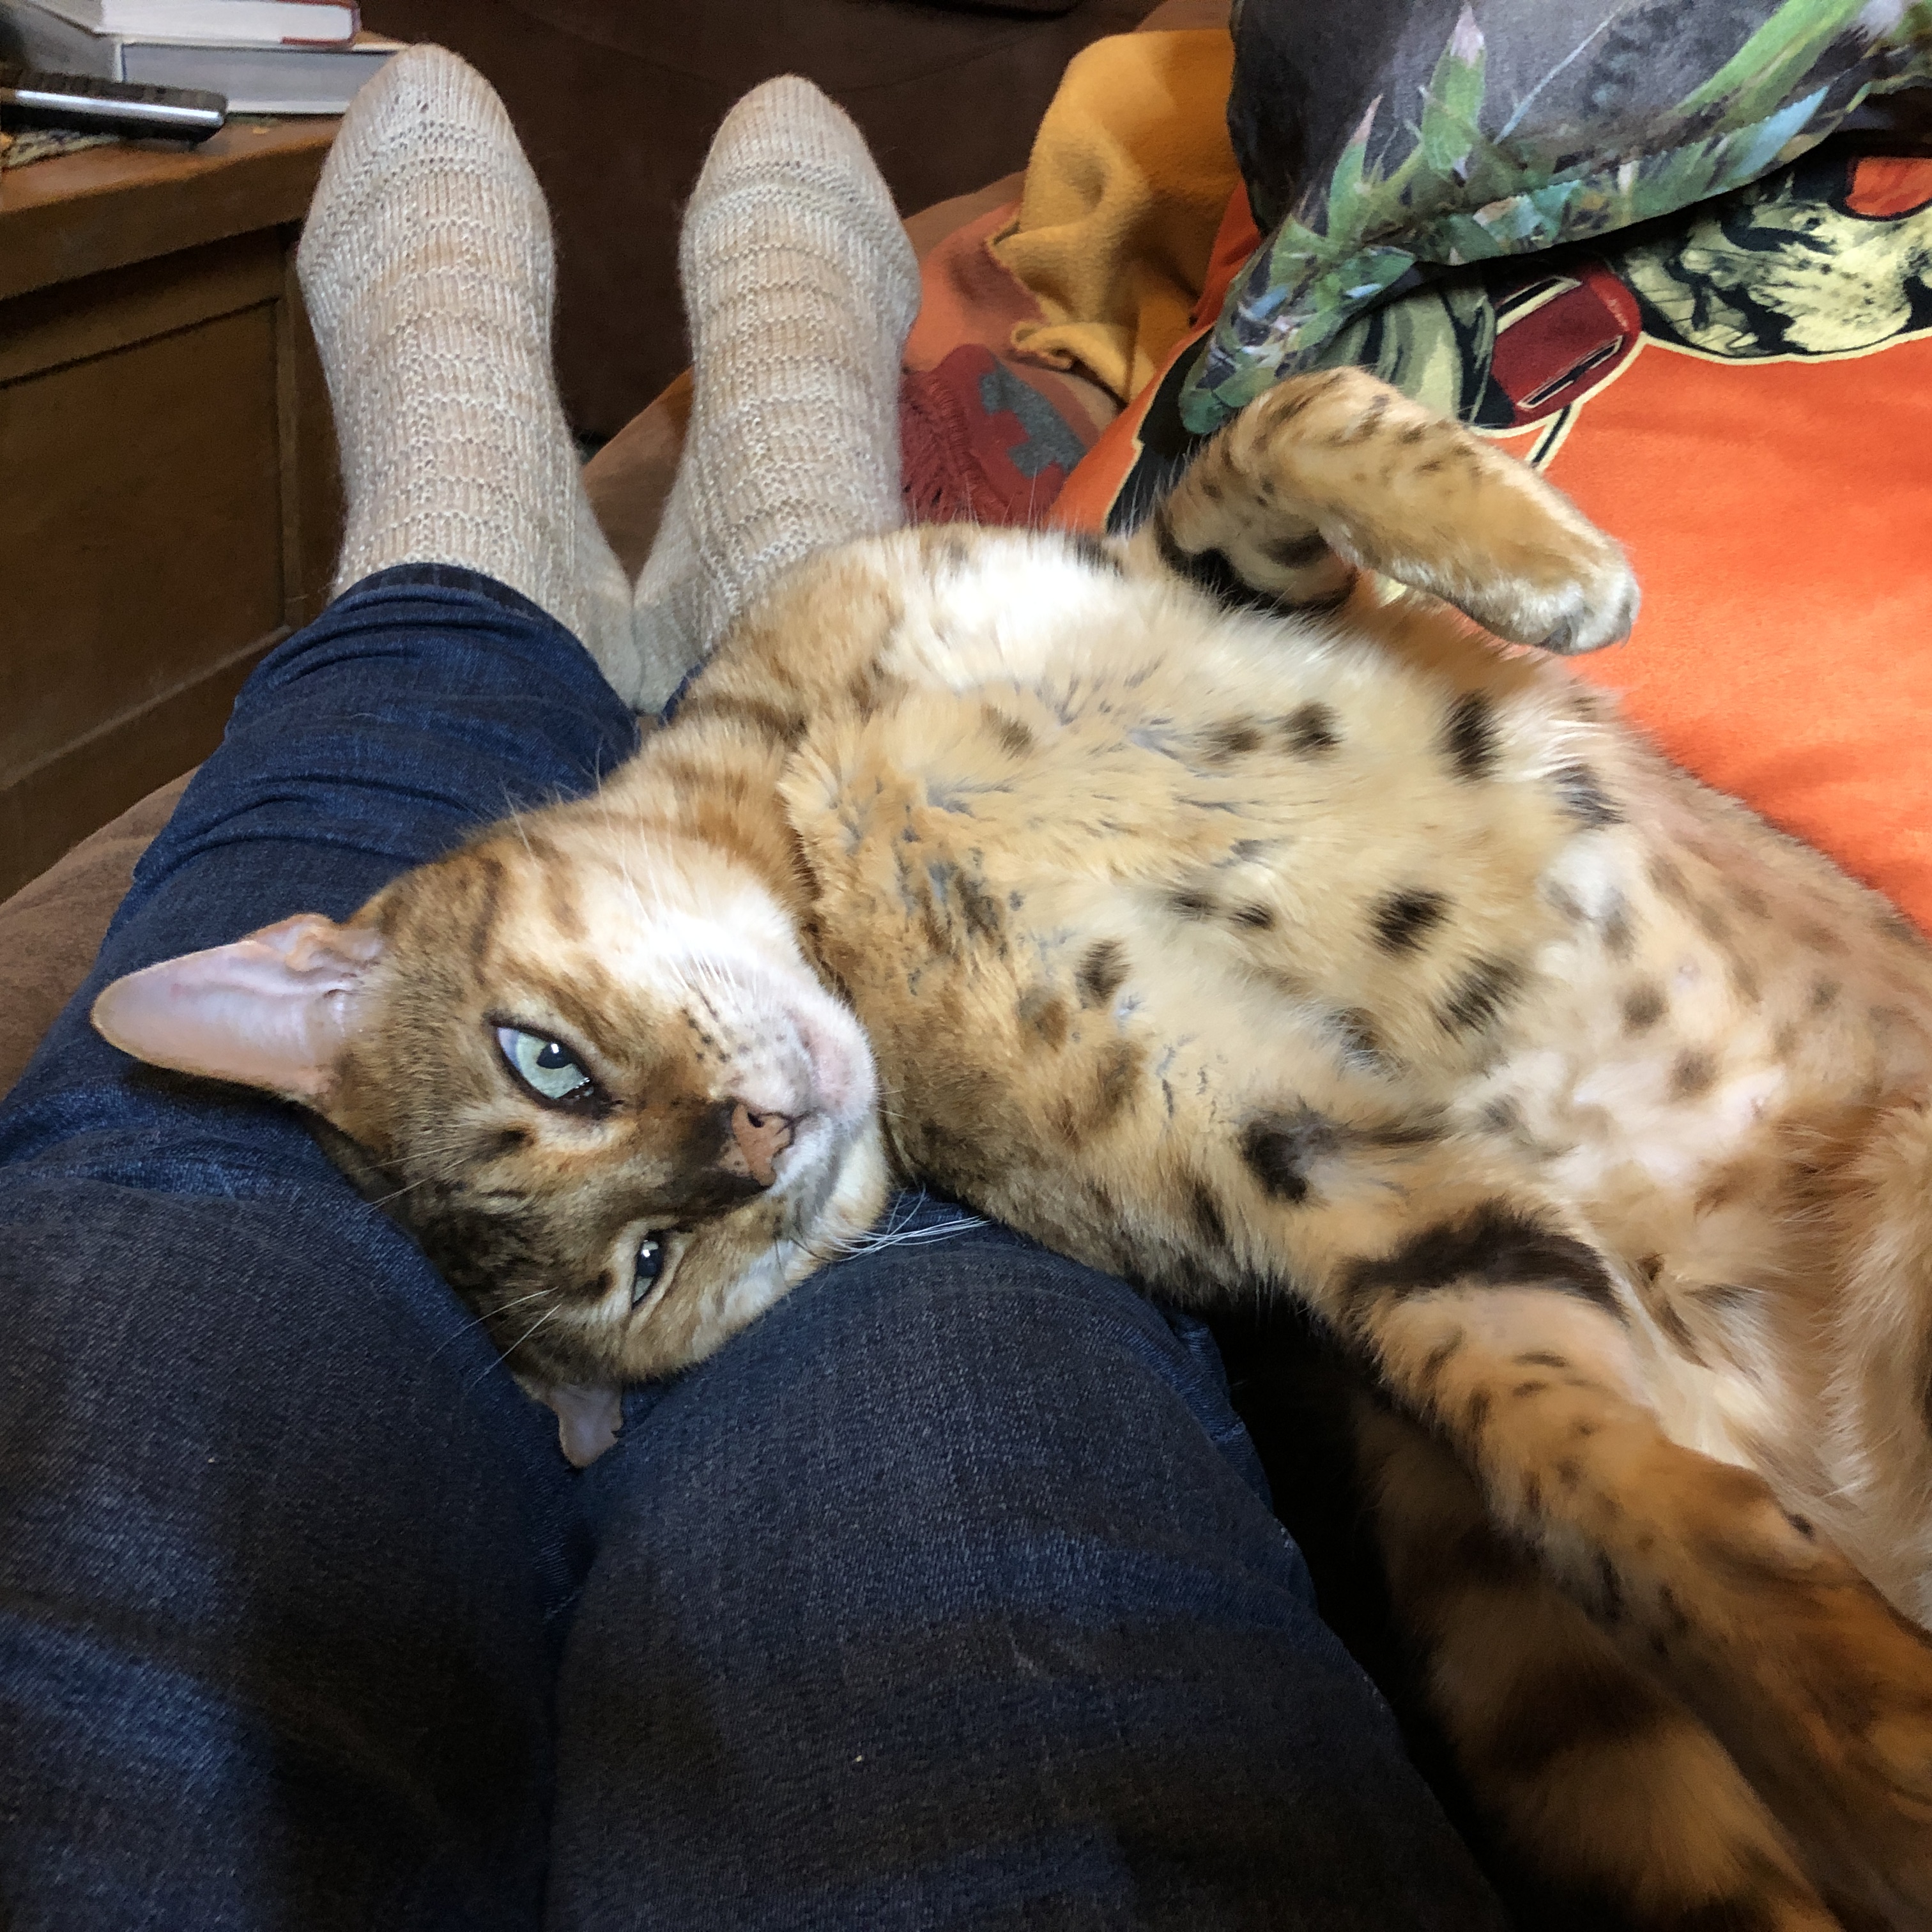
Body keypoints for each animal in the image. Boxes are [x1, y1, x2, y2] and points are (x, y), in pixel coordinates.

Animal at [94, 367, 1932, 1932]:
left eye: (543, 1063)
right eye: (653, 1266)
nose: (754, 1137)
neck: (848, 853)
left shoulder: (1183, 581)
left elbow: (1283, 415)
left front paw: (1543, 561)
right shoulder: (1313, 1171)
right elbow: (1597, 1480)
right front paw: (1872, 1731)